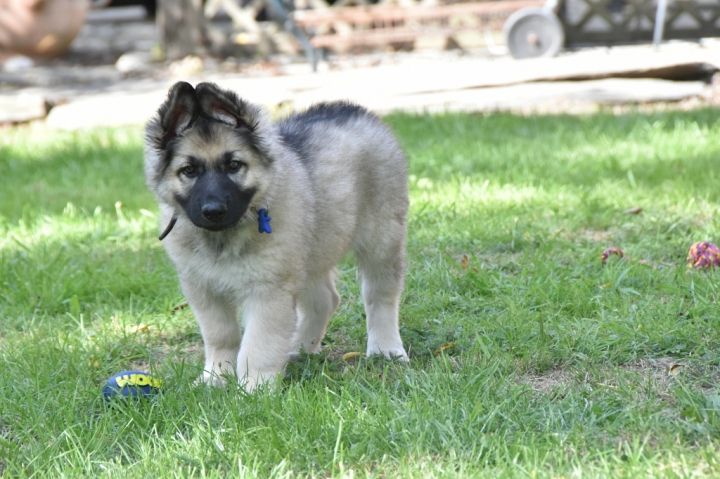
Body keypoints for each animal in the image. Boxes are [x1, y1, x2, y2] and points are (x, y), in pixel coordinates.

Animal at [144, 81, 409, 391]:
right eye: (189, 171)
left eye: (234, 166)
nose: (213, 211)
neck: (224, 238)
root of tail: (353, 109)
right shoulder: (204, 289)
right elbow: (221, 336)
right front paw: (215, 378)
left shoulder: (268, 290)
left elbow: (258, 343)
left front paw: (255, 388)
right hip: (310, 252)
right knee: (324, 300)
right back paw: (299, 349)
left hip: (381, 238)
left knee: (380, 295)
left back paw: (386, 349)